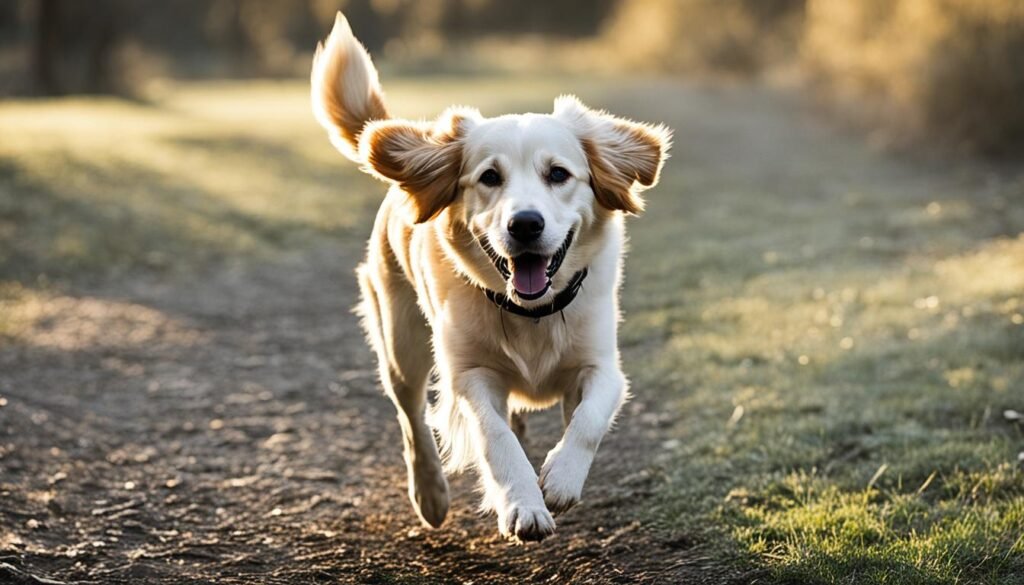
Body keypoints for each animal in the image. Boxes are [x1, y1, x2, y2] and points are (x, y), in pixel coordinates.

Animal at [311, 13, 671, 540]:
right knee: (413, 419)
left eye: (558, 174)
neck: (532, 312)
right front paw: (523, 504)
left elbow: (587, 420)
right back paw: (430, 494)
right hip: (402, 344)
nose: (525, 224)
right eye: (489, 177)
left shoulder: (602, 365)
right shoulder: (470, 375)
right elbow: (494, 437)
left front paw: (560, 479)